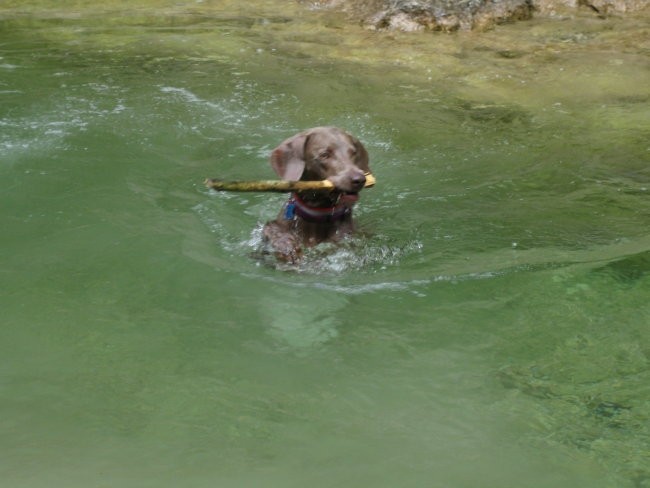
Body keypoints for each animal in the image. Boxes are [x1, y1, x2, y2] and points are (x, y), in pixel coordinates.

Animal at [260, 126, 368, 264]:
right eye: (324, 155)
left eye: (353, 153)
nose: (359, 179)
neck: (317, 213)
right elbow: (272, 230)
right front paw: (287, 247)